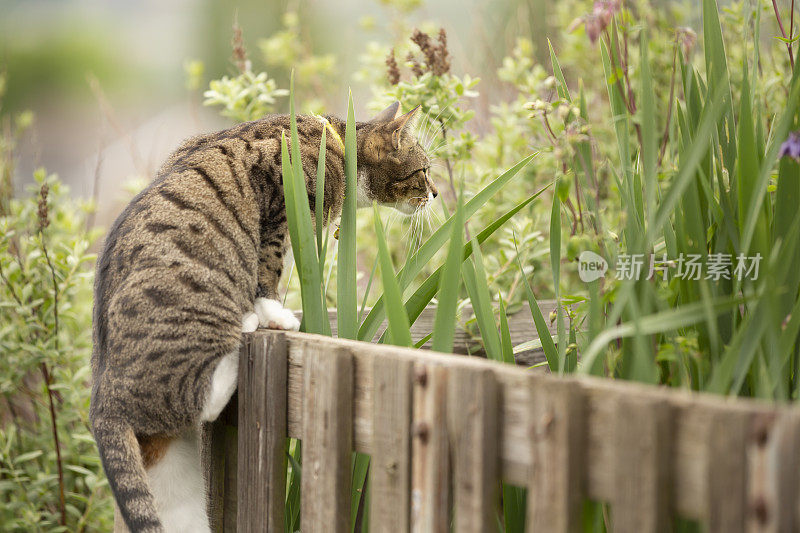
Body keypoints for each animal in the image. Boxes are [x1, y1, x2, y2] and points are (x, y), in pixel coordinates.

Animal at [90, 102, 438, 528]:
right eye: (423, 170)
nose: (435, 193)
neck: (336, 144)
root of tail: (104, 397)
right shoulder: (280, 199)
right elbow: (266, 270)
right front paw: (275, 314)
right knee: (202, 397)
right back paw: (239, 340)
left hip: (171, 473)